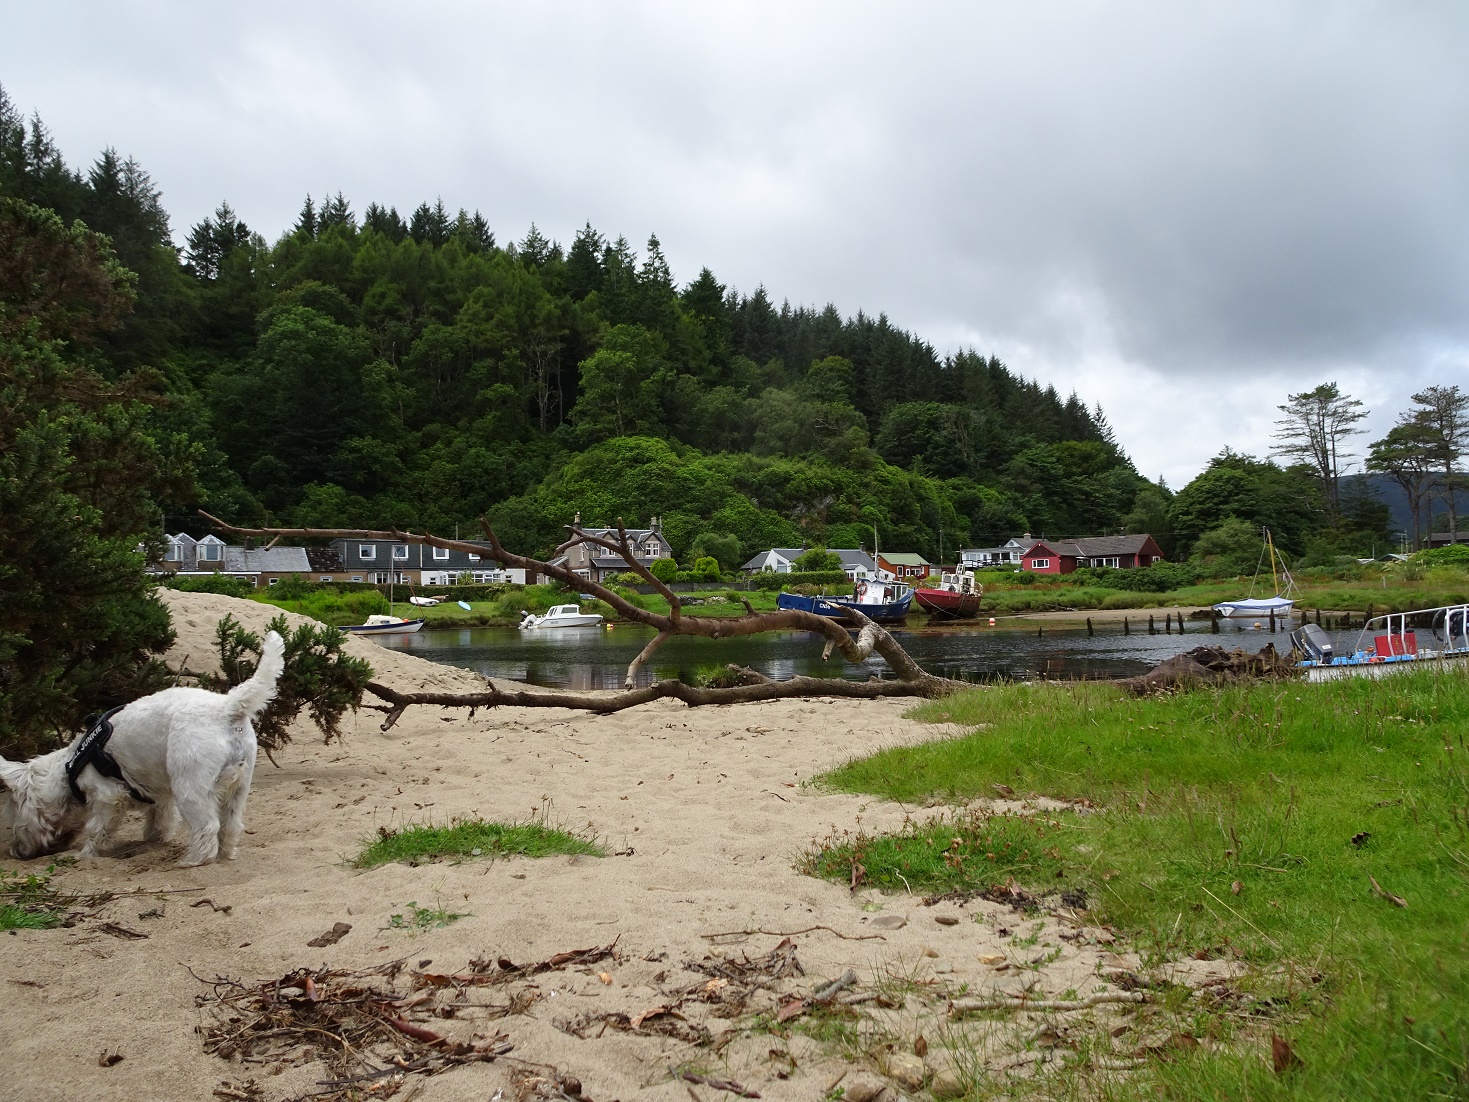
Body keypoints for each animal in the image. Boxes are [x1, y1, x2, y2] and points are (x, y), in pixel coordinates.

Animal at [0, 634, 284, 869]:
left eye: (13, 816)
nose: (16, 852)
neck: (70, 768)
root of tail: (228, 707)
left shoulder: (107, 795)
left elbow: (96, 828)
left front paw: (86, 854)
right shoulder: (160, 796)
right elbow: (159, 820)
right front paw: (153, 841)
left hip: (190, 786)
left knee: (207, 825)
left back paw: (193, 860)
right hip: (239, 786)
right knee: (230, 824)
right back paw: (225, 854)